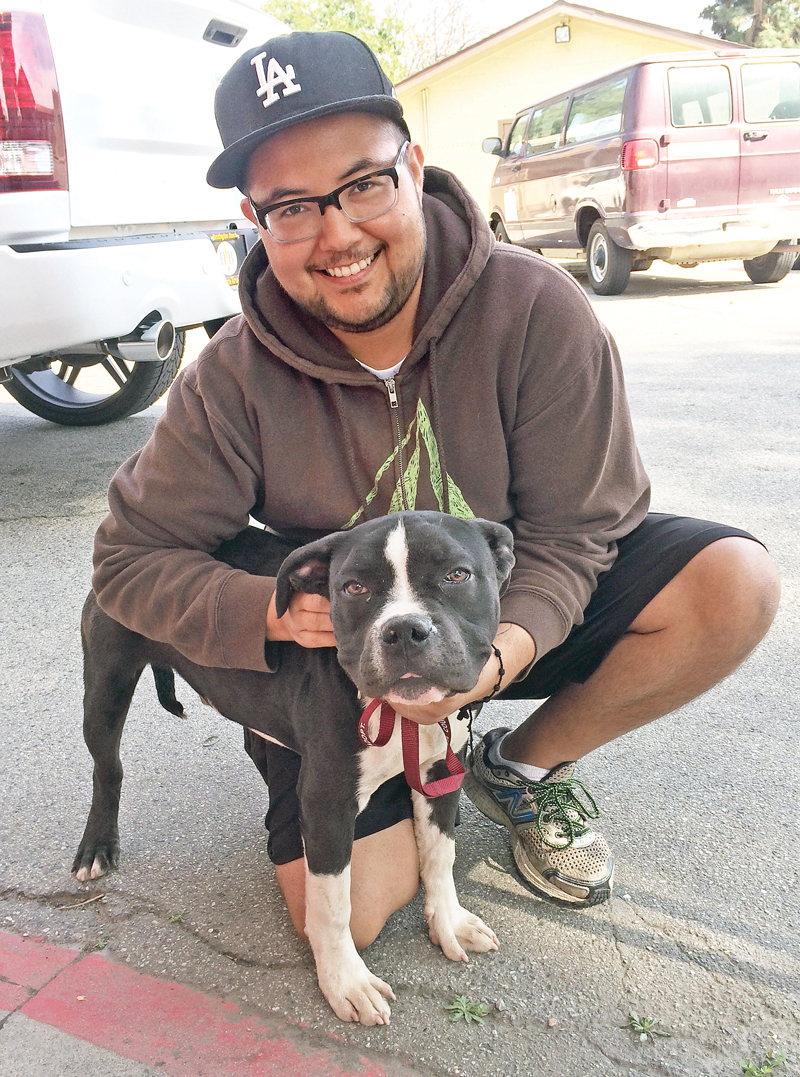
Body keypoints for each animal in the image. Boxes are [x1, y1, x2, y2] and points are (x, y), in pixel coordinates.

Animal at [73, 512, 512, 1025]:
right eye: (354, 587)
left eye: (457, 575)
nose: (404, 630)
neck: (400, 715)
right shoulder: (327, 805)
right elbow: (333, 904)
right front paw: (345, 981)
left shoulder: (439, 772)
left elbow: (440, 856)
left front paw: (449, 922)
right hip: (106, 687)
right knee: (107, 768)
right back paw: (97, 846)